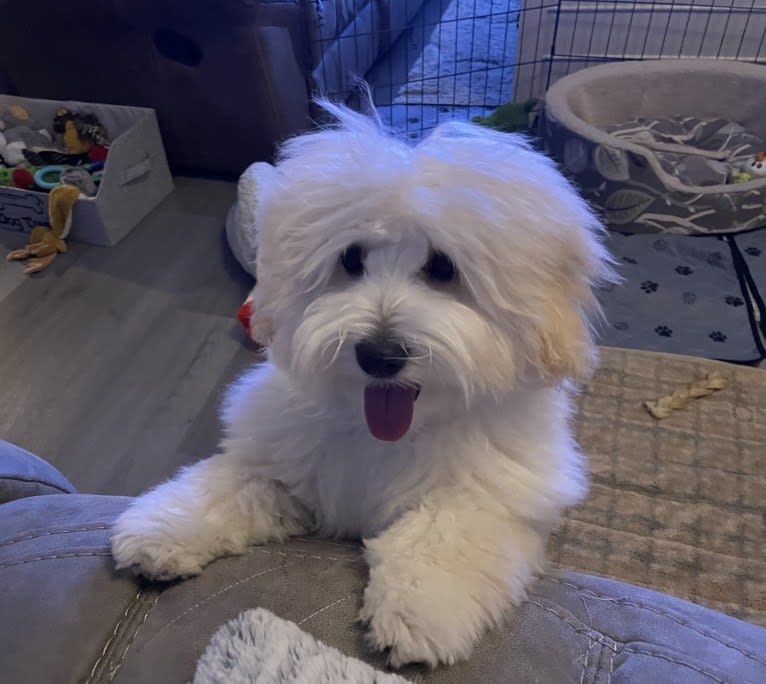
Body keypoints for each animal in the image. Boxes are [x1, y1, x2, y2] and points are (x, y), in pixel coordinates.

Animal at [112, 101, 616, 668]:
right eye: (350, 259)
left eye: (443, 267)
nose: (379, 355)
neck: (390, 432)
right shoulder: (285, 460)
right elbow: (229, 484)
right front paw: (161, 529)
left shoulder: (493, 497)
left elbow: (445, 530)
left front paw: (417, 610)